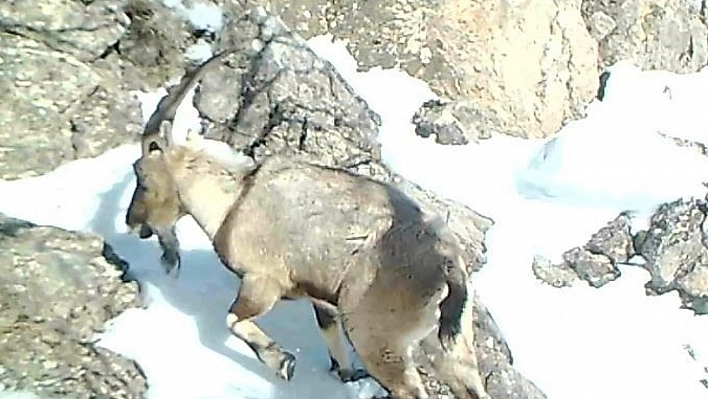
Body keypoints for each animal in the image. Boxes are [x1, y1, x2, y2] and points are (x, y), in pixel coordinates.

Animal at [124, 50, 490, 399]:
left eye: (141, 175)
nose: (132, 223)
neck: (235, 202)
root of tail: (447, 265)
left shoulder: (263, 281)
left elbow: (233, 320)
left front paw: (281, 361)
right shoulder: (321, 302)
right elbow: (332, 344)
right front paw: (343, 373)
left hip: (378, 337)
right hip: (452, 348)